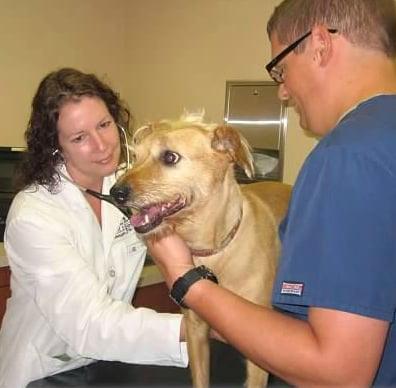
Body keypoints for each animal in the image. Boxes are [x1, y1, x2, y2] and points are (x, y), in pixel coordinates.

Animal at [110, 113, 290, 388]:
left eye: (170, 157)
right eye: (136, 156)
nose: (115, 193)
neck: (212, 252)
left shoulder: (259, 354)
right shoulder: (196, 331)